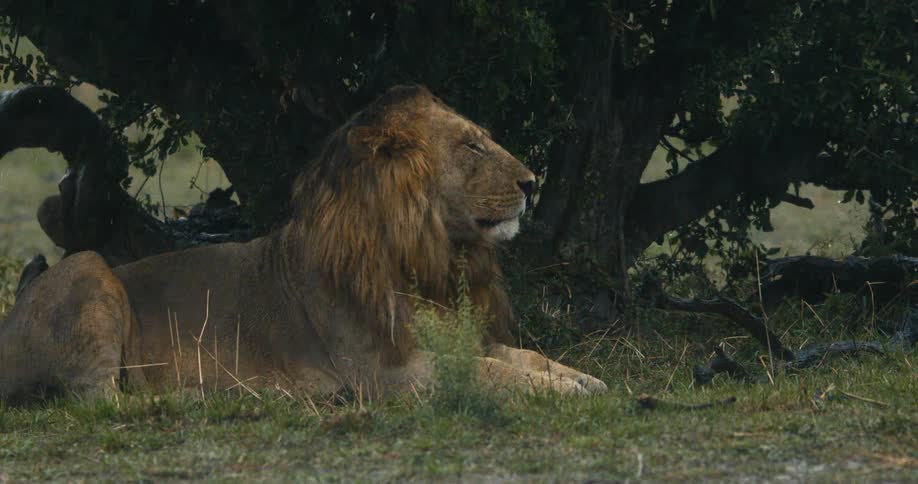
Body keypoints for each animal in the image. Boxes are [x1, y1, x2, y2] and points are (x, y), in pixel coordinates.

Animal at [0, 85, 606, 402]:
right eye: (472, 146)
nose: (531, 183)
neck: (429, 258)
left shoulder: (460, 339)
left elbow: (523, 356)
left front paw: (582, 377)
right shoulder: (389, 373)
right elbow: (490, 373)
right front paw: (563, 390)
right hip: (88, 268)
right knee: (100, 396)